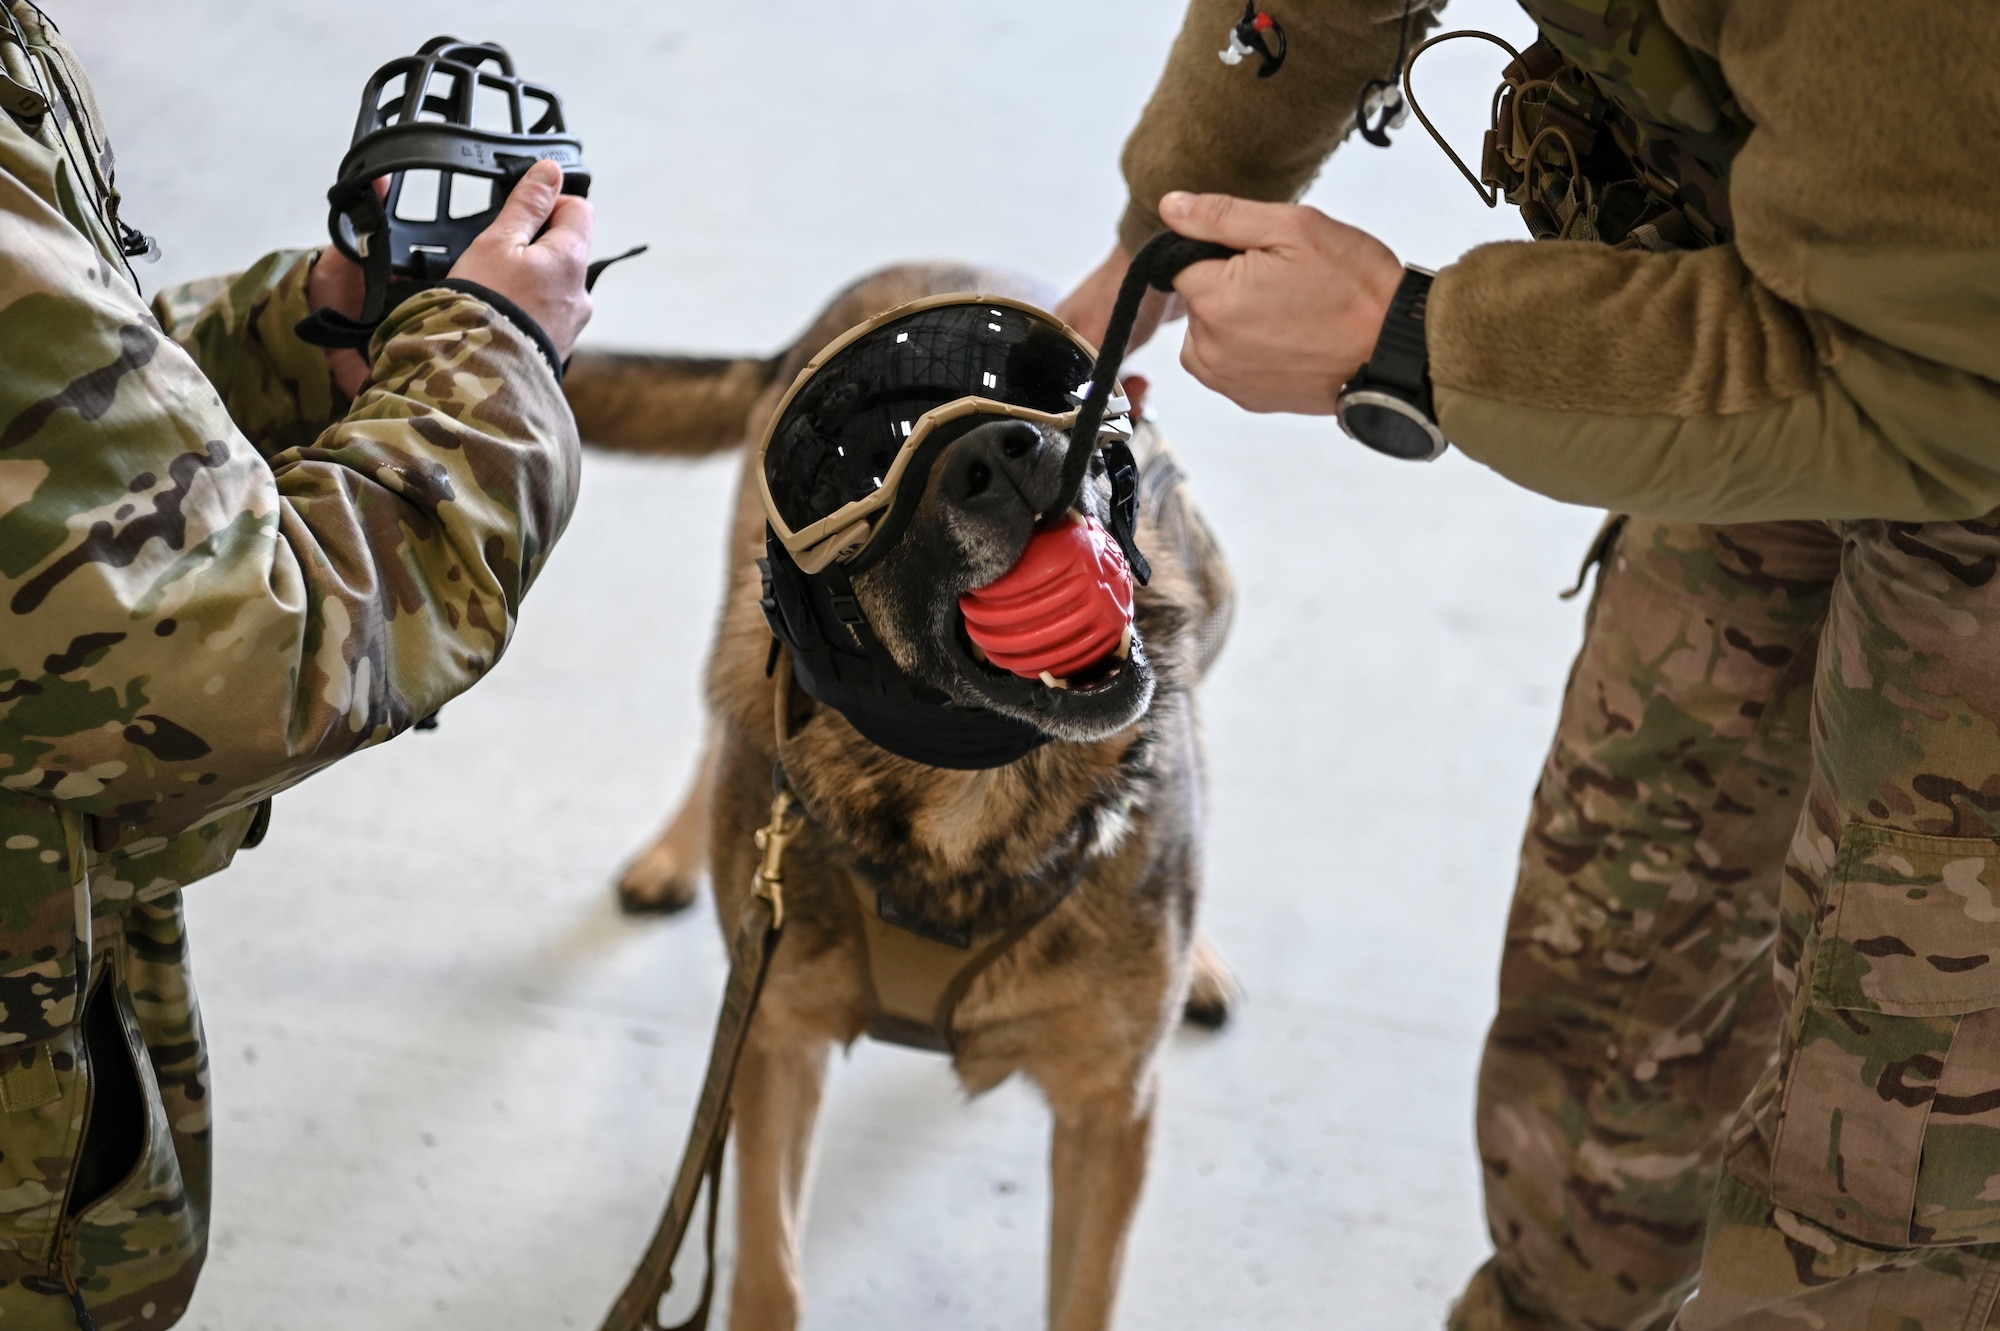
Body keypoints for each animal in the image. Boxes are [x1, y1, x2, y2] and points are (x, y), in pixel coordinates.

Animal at [564, 263, 1240, 1319]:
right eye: (869, 463)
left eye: (1043, 396)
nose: (1010, 449)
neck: (964, 803)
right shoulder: (775, 1044)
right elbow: (769, 1274)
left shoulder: (1109, 1109)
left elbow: (1084, 1298)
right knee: (722, 705)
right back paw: (674, 853)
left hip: (1217, 599)